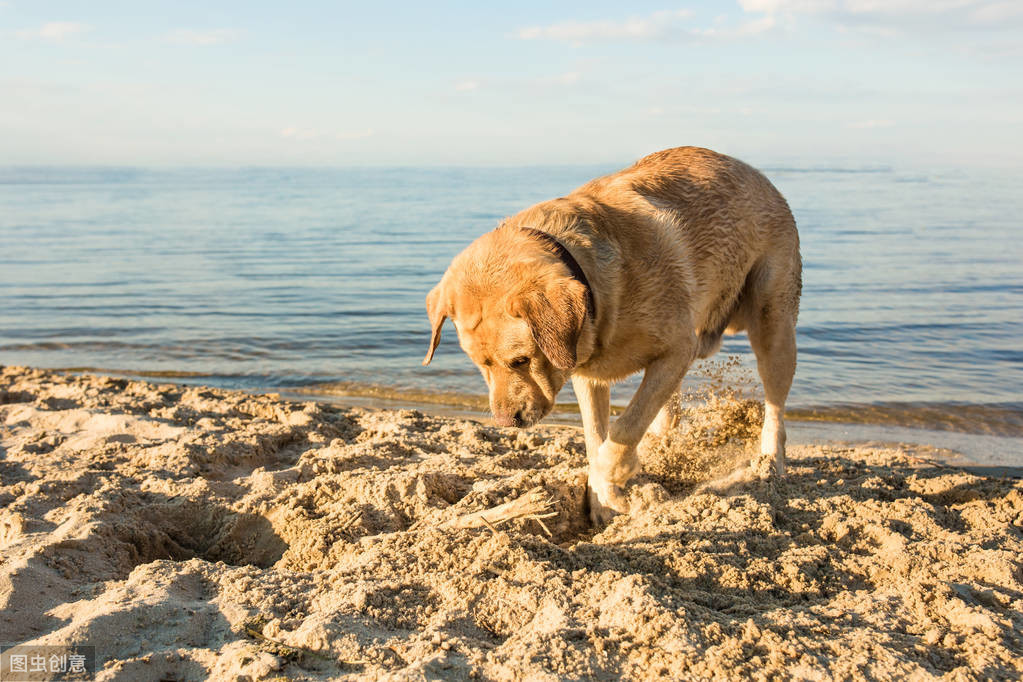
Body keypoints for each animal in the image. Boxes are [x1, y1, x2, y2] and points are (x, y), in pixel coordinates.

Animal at [421, 147, 797, 527]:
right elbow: (595, 435)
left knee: (774, 408)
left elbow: (624, 429)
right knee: (668, 410)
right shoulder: (588, 375)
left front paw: (610, 473)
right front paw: (604, 499)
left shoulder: (678, 349)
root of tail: (755, 173)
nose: (503, 421)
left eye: (521, 360)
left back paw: (770, 462)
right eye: (480, 365)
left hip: (773, 325)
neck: (590, 282)